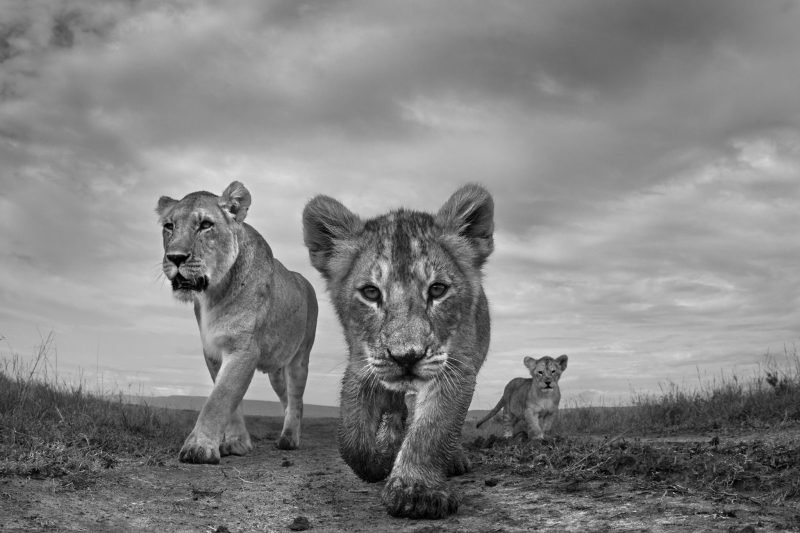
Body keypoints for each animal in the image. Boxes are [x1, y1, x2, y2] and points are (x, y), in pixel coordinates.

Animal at [156, 181, 318, 464]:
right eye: (169, 226)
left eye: (205, 225)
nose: (175, 257)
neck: (214, 294)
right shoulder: (212, 351)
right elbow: (231, 403)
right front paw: (237, 443)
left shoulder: (243, 349)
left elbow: (219, 399)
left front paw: (199, 448)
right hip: (276, 371)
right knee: (288, 399)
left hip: (300, 358)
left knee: (297, 398)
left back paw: (289, 439)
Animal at [302, 184, 494, 519]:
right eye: (370, 292)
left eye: (437, 290)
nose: (407, 357)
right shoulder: (361, 367)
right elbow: (351, 440)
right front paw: (380, 461)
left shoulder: (454, 367)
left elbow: (432, 429)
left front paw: (415, 491)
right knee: (394, 411)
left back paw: (452, 458)